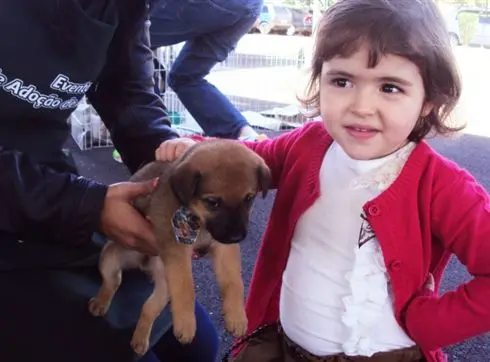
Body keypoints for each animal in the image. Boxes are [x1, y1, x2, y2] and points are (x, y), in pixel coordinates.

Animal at [88, 140, 272, 354]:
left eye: (249, 198)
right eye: (213, 202)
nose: (237, 237)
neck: (199, 221)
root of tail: (143, 263)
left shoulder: (224, 248)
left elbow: (234, 281)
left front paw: (236, 315)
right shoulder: (176, 246)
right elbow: (186, 286)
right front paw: (186, 323)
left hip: (165, 287)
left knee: (148, 308)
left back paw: (140, 340)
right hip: (109, 256)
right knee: (113, 281)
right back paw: (100, 303)